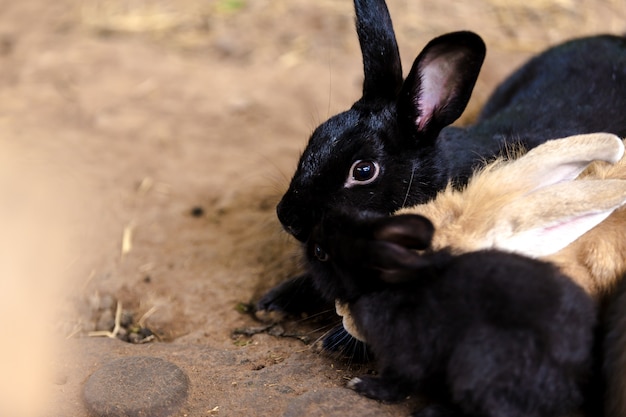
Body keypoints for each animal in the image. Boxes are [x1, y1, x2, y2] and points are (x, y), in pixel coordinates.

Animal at [308, 210, 596, 416]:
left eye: (321, 253)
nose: (312, 234)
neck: (385, 286)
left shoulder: (405, 353)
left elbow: (399, 381)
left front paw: (363, 385)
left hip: (477, 361)